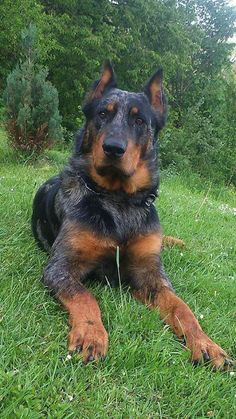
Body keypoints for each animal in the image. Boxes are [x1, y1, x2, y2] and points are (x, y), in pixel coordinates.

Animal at [31, 60, 232, 370]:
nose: (113, 148)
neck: (118, 200)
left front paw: (206, 343)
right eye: (102, 113)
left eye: (139, 121)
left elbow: (182, 308)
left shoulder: (151, 277)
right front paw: (91, 334)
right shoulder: (59, 268)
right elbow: (85, 296)